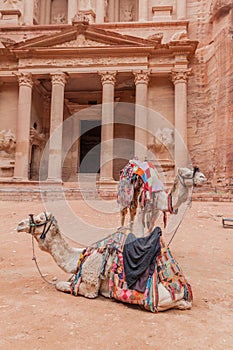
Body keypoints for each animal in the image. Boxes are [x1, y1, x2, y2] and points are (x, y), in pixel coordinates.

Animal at [17, 212, 193, 314]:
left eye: (39, 220)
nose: (19, 225)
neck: (80, 256)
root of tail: (184, 289)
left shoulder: (90, 286)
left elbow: (61, 285)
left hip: (159, 298)